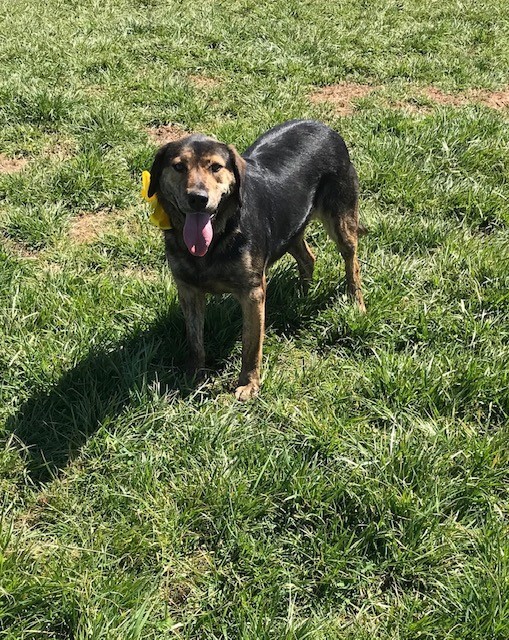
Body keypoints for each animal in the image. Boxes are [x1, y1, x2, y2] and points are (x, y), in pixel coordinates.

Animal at [147, 119, 366, 400]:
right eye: (178, 166)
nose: (198, 198)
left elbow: (251, 345)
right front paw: (194, 375)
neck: (219, 234)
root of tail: (323, 126)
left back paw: (356, 303)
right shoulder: (188, 290)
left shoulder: (252, 292)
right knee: (308, 257)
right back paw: (302, 292)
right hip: (290, 228)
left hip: (341, 219)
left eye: (216, 167)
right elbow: (195, 340)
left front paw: (249, 385)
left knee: (352, 262)